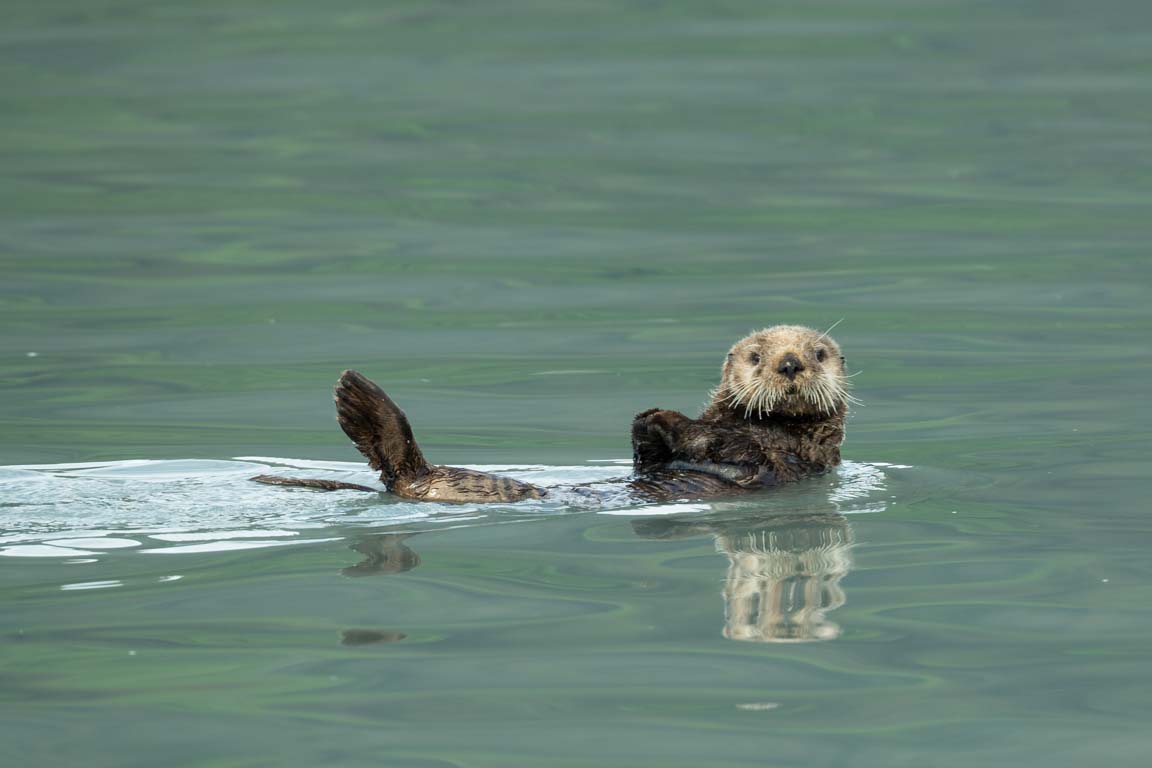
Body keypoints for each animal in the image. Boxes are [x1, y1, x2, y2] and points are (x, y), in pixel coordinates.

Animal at [252, 327, 852, 502]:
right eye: (756, 355)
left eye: (819, 353)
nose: (791, 363)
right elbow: (649, 454)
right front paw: (650, 417)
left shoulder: (787, 457)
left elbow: (733, 447)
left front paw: (671, 418)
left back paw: (357, 396)